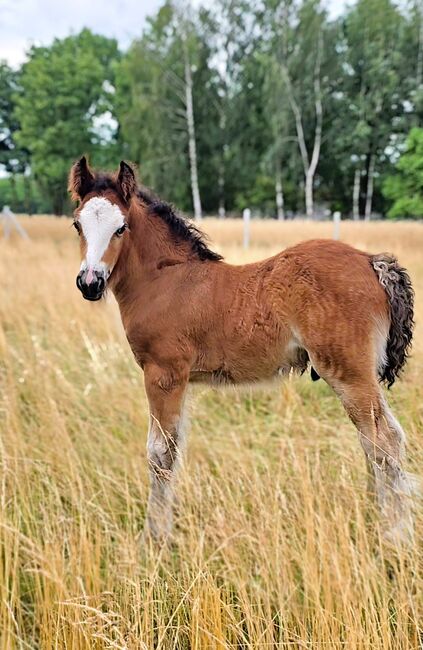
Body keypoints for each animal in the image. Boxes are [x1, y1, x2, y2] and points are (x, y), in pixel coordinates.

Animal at [69, 157, 415, 544]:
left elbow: (159, 454)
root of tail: (373, 262)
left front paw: (155, 538)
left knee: (384, 440)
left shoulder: (163, 374)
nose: (90, 282)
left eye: (121, 228)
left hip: (349, 373)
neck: (165, 280)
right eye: (77, 224)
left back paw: (396, 534)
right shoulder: (181, 380)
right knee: (376, 441)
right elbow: (174, 448)